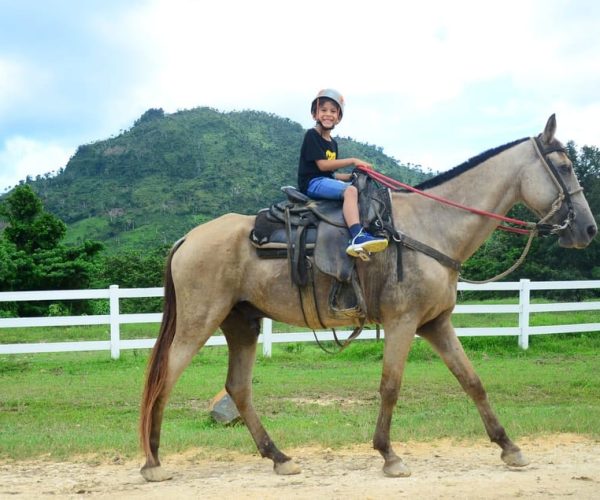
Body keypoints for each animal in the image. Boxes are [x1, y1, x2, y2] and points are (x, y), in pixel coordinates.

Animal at [139, 114, 596, 480]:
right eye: (565, 166)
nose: (588, 229)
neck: (431, 227)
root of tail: (188, 238)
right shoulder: (403, 322)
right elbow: (391, 386)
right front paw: (389, 455)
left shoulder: (436, 323)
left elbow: (473, 382)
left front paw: (509, 447)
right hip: (199, 322)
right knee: (166, 377)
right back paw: (153, 461)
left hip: (241, 324)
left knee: (238, 389)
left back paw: (279, 457)